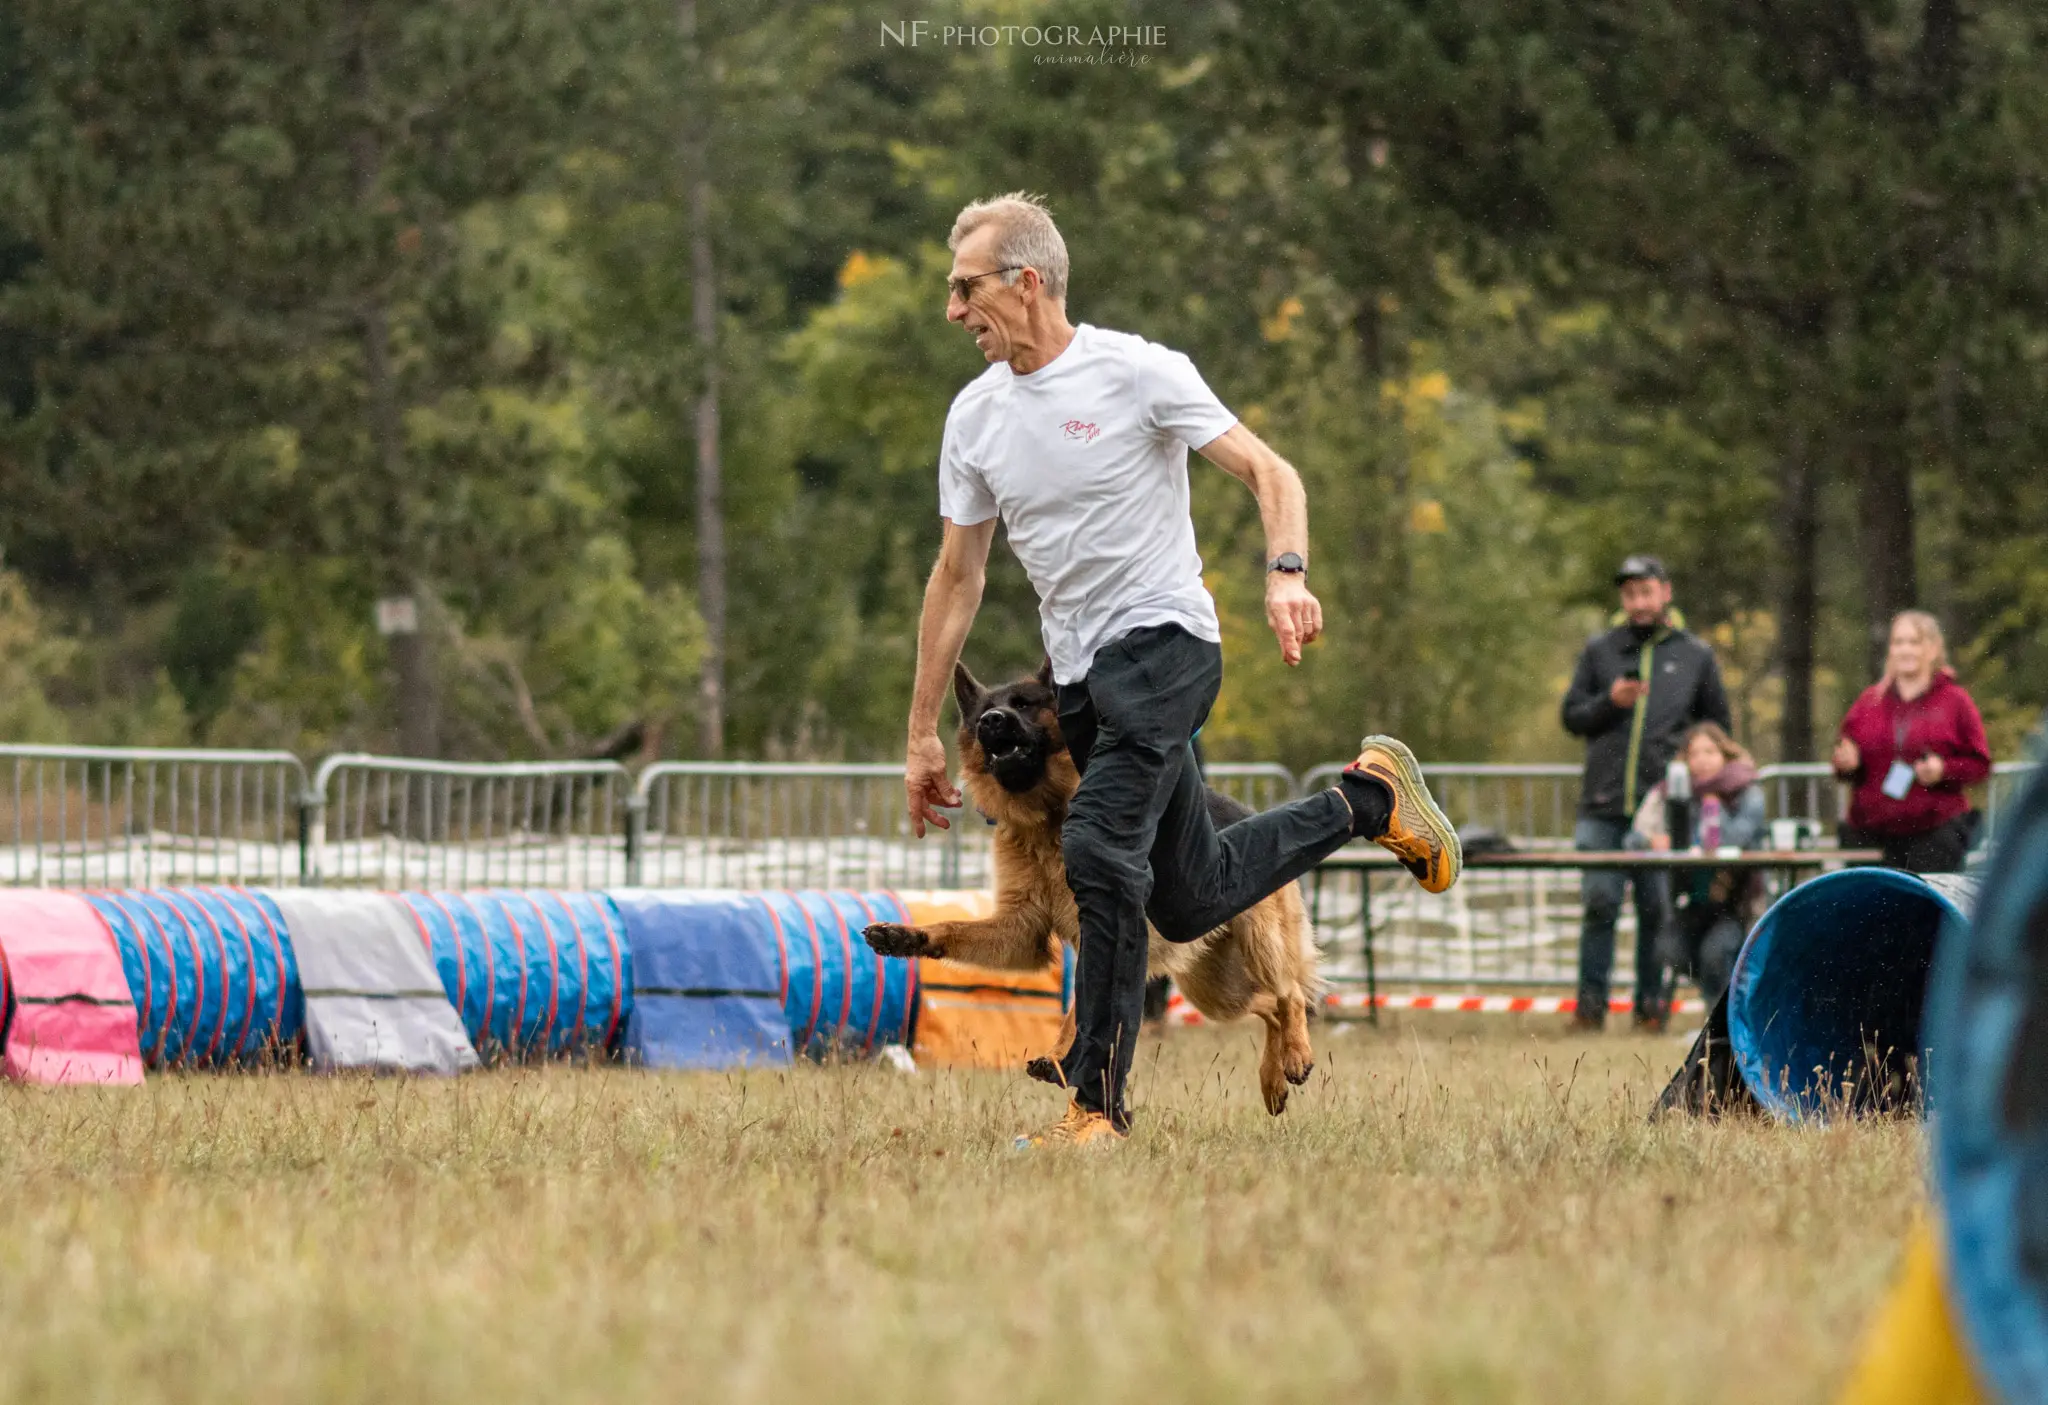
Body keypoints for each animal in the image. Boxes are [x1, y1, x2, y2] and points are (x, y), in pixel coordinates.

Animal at [868, 667, 1327, 1114]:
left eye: (1024, 704)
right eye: (984, 712)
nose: (991, 721)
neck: (1048, 818)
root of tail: (1250, 814)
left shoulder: (1105, 924)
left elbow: (1083, 1003)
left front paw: (1062, 1057)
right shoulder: (1022, 929)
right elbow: (954, 928)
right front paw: (906, 936)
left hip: (1256, 946)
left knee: (1290, 995)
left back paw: (1296, 1055)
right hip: (1214, 990)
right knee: (1268, 1007)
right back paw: (1274, 1080)